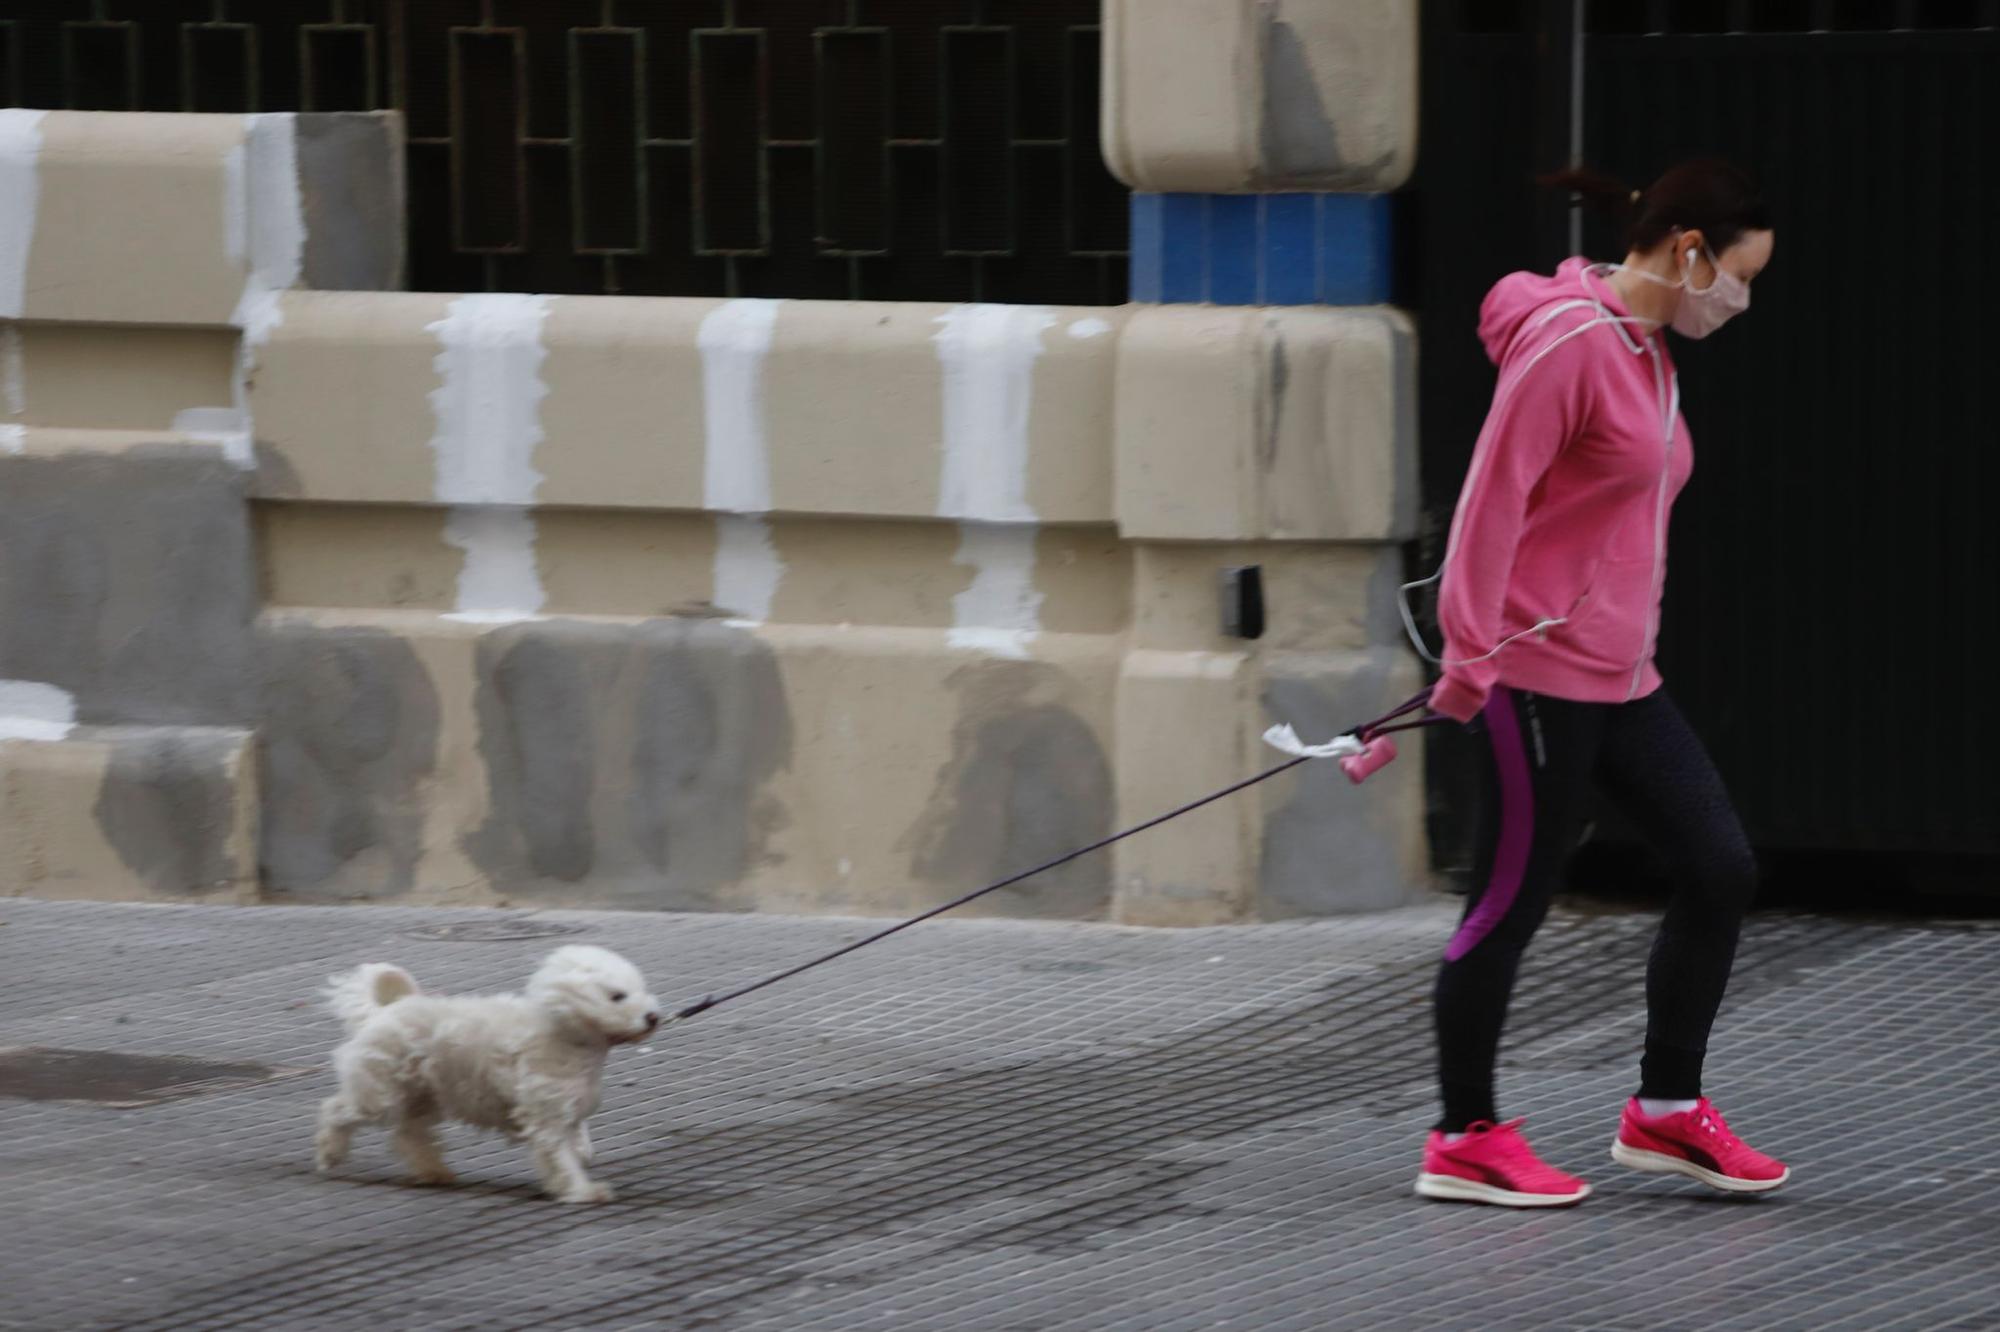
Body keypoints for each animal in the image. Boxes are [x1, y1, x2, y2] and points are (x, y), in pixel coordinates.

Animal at [308, 940, 660, 1200]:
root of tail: (384, 1012)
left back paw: (433, 1171)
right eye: (617, 996)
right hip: (380, 1092)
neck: (567, 1037)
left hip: (422, 1095)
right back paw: (330, 1152)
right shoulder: (546, 1116)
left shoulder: (568, 1110)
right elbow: (561, 1158)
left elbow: (575, 1145)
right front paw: (582, 1190)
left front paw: (578, 1165)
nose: (653, 1017)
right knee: (336, 1110)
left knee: (410, 1133)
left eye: (641, 988)